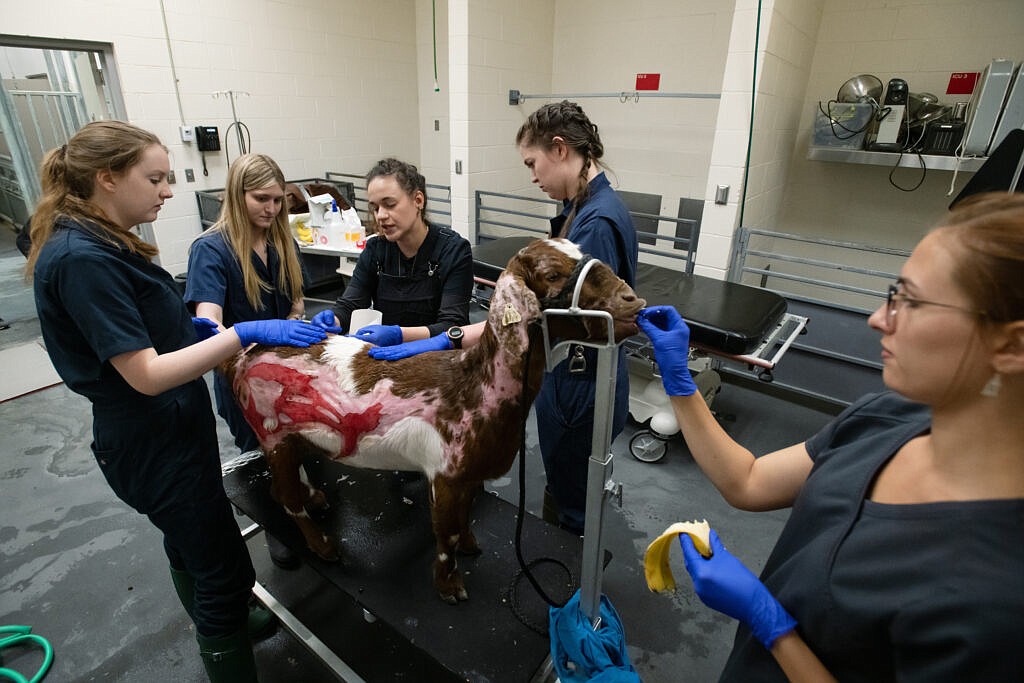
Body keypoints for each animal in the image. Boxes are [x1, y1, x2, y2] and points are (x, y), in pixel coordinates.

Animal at [221, 239, 643, 602]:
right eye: (553, 274)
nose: (632, 301)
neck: (473, 383)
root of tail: (243, 353)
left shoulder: (468, 474)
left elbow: (466, 517)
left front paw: (472, 546)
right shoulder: (445, 474)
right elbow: (446, 531)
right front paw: (449, 586)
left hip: (291, 436)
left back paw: (316, 497)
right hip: (271, 433)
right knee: (285, 497)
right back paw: (323, 545)